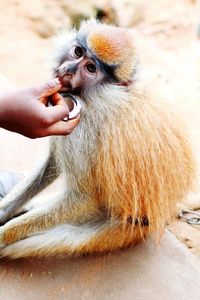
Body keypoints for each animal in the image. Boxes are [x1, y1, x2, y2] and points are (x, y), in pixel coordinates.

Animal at [0, 19, 196, 258]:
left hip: (125, 226)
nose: (68, 71)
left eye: (91, 68)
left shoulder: (82, 129)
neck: (103, 96)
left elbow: (83, 199)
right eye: (78, 52)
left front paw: (3, 234)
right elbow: (52, 164)